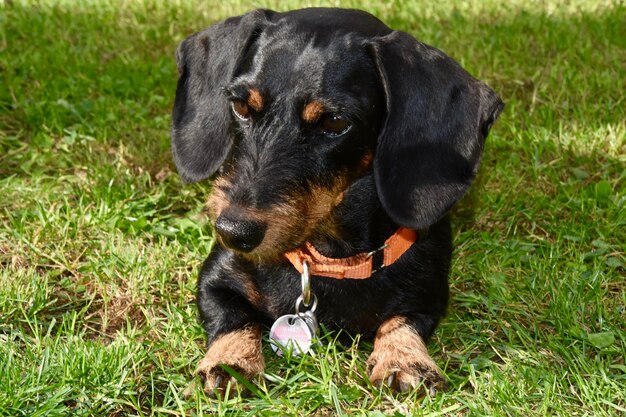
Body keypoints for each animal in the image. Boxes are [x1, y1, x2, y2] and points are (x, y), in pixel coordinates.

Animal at [171, 8, 502, 394]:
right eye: (240, 106)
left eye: (334, 122)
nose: (233, 232)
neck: (332, 259)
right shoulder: (216, 278)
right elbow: (232, 317)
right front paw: (229, 361)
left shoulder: (427, 293)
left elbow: (401, 320)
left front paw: (405, 359)